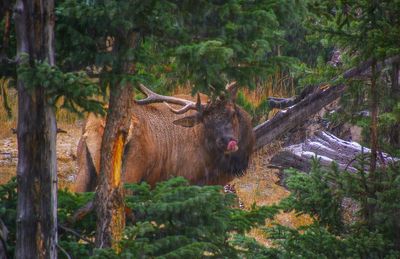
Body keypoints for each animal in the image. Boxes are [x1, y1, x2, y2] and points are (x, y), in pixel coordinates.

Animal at [73, 82, 255, 192]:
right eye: (206, 121)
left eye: (232, 113)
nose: (229, 142)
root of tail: (95, 125)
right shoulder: (187, 178)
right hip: (130, 171)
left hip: (84, 167)